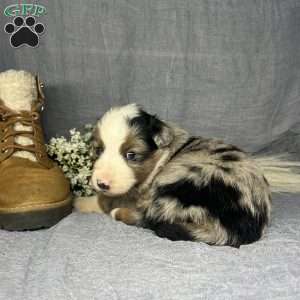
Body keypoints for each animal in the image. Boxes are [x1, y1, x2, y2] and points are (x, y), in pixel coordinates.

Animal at [75, 104, 300, 247]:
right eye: (98, 150)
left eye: (131, 155)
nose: (102, 183)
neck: (162, 157)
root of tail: (236, 229)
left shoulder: (136, 194)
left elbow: (104, 201)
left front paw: (80, 201)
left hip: (177, 184)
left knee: (150, 217)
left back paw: (119, 213)